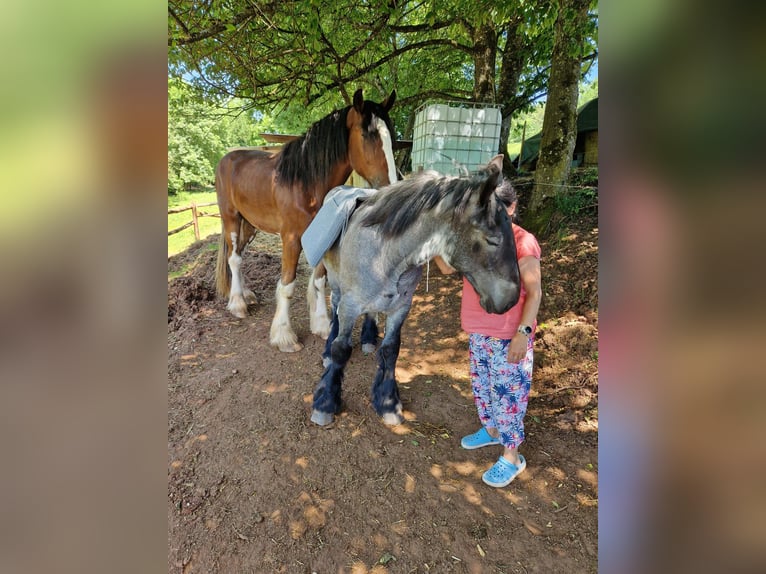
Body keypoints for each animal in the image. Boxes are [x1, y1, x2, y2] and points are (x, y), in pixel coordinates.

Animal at [214, 90, 400, 354]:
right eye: (366, 134)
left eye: (391, 136)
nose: (391, 187)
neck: (306, 183)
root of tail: (228, 158)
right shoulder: (291, 239)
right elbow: (288, 285)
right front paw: (284, 336)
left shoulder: (322, 236)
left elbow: (320, 281)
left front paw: (321, 325)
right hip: (230, 218)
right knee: (233, 258)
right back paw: (238, 304)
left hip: (250, 225)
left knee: (239, 255)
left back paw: (246, 294)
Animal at [310, 154, 520, 428]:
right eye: (492, 239)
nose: (510, 300)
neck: (385, 254)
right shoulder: (350, 305)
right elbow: (341, 349)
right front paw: (325, 403)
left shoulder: (401, 307)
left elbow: (391, 350)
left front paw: (388, 402)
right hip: (335, 283)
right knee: (334, 309)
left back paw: (368, 339)